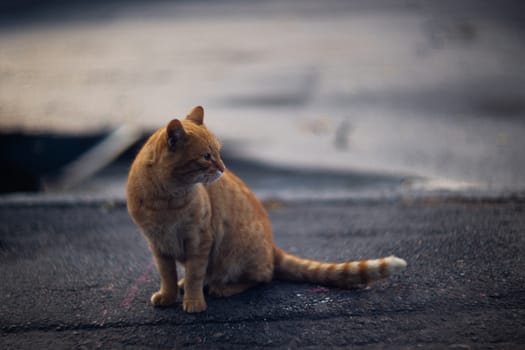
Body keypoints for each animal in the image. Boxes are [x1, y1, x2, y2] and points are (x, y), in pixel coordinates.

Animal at [126, 106, 406, 312]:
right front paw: (169, 295)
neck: (166, 200)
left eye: (218, 152)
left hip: (236, 252)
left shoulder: (200, 240)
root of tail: (272, 246)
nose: (223, 168)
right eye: (206, 156)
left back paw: (223, 287)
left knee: (262, 277)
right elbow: (167, 274)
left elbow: (196, 273)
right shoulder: (158, 244)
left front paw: (194, 301)